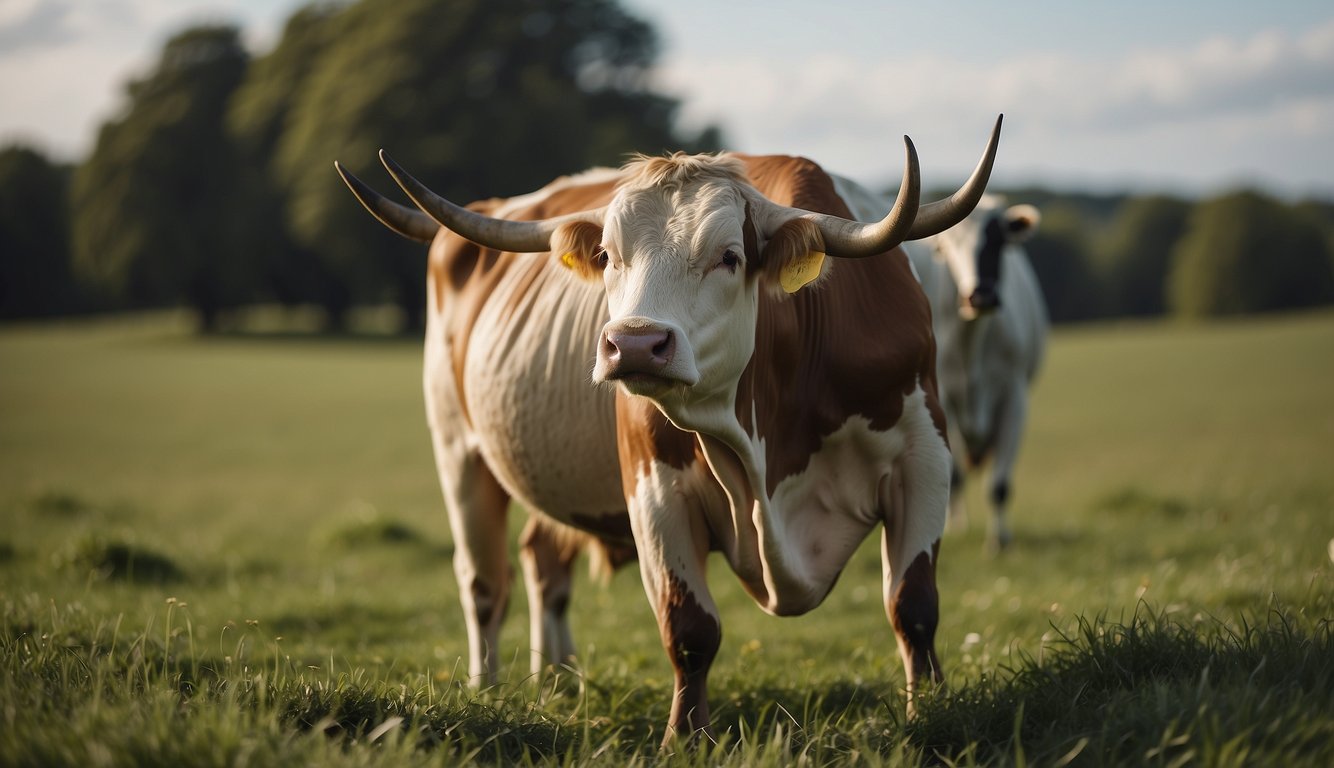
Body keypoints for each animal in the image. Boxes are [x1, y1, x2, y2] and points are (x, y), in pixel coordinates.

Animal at [334, 115, 1002, 746]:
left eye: (730, 256)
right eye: (608, 256)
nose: (633, 344)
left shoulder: (924, 462)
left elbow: (912, 606)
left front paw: (929, 711)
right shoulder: (653, 491)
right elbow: (689, 630)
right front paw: (686, 737)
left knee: (543, 562)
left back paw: (558, 681)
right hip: (459, 451)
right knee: (482, 584)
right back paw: (489, 692)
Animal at [903, 196, 1045, 552]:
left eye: (998, 239)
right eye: (951, 245)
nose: (979, 295)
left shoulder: (1014, 397)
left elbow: (1000, 485)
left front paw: (999, 542)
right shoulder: (943, 399)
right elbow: (953, 476)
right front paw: (953, 531)